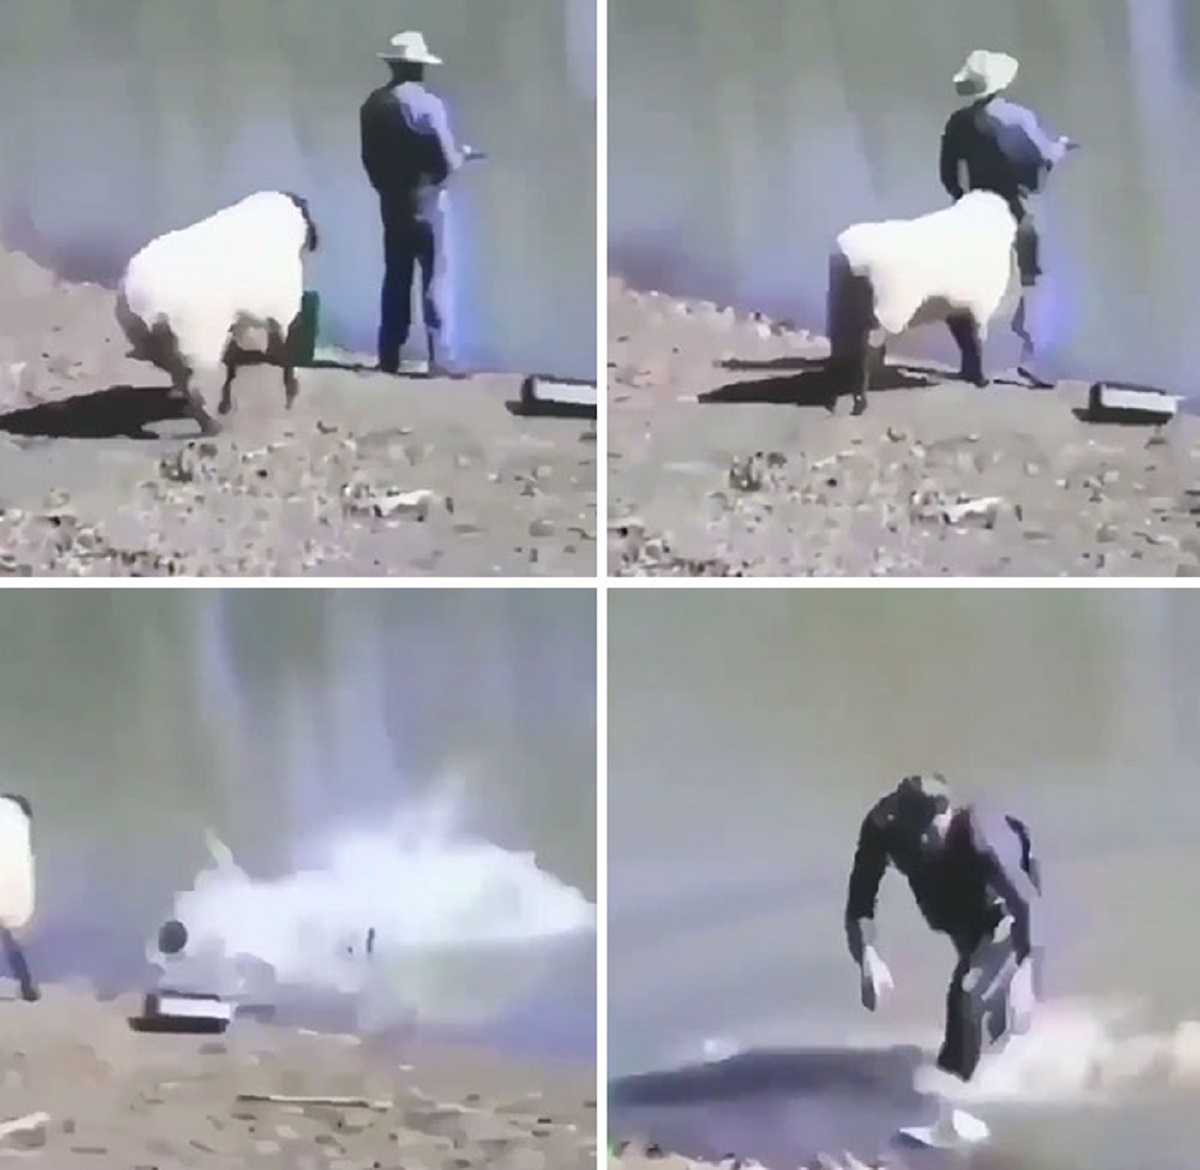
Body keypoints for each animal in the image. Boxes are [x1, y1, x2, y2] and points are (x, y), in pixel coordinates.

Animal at [112, 190, 316, 434]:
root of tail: (142, 303)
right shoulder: (281, 313)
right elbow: (284, 354)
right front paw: (291, 393)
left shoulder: (240, 319)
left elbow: (235, 358)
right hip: (198, 344)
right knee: (195, 388)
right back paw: (211, 425)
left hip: (153, 342)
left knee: (180, 377)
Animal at [830, 189, 1017, 415]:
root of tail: (851, 255)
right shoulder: (980, 305)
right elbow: (976, 342)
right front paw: (980, 380)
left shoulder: (957, 308)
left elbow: (965, 342)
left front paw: (970, 375)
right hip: (888, 308)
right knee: (868, 347)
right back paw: (861, 402)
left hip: (851, 305)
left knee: (851, 344)